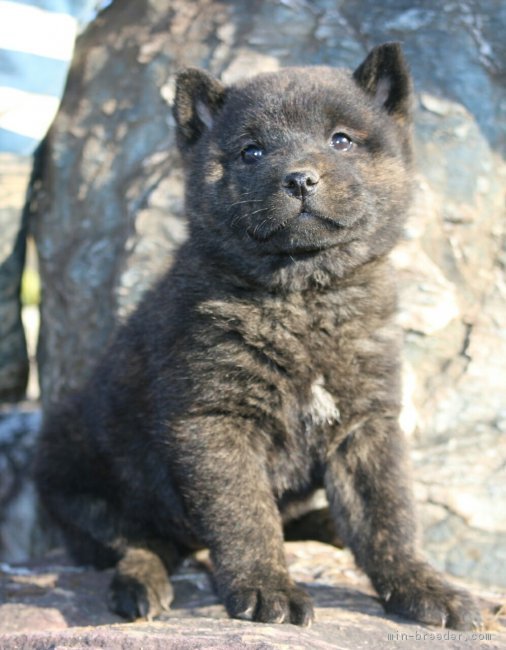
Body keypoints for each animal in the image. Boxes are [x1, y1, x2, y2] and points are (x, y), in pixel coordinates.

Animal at [34, 41, 478, 628]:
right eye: (252, 152)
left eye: (340, 139)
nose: (300, 179)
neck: (303, 298)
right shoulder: (215, 420)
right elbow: (245, 516)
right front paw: (269, 588)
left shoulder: (365, 423)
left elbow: (387, 517)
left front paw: (422, 585)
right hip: (73, 462)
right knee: (136, 541)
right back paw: (141, 585)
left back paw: (326, 529)